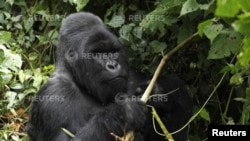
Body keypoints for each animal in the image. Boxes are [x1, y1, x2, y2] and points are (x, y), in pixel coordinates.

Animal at [26, 11, 191, 140]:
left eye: (112, 52)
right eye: (98, 53)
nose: (113, 65)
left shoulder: (130, 75)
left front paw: (158, 92)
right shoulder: (53, 96)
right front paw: (123, 113)